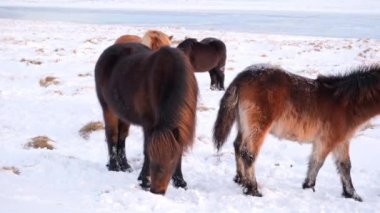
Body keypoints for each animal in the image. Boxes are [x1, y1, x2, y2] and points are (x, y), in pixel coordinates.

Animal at [94, 42, 199, 194]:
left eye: (172, 160)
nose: (157, 191)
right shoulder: (148, 125)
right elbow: (146, 150)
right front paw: (144, 180)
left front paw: (180, 182)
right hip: (108, 109)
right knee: (112, 135)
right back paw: (114, 166)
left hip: (124, 114)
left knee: (122, 137)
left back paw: (125, 165)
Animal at [212, 63, 380, 201]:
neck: (345, 103)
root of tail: (242, 77)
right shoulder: (326, 141)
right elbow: (317, 163)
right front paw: (309, 187)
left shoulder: (341, 141)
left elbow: (345, 166)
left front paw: (351, 194)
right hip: (257, 128)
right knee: (248, 153)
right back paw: (253, 189)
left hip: (244, 126)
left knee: (237, 146)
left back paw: (241, 180)